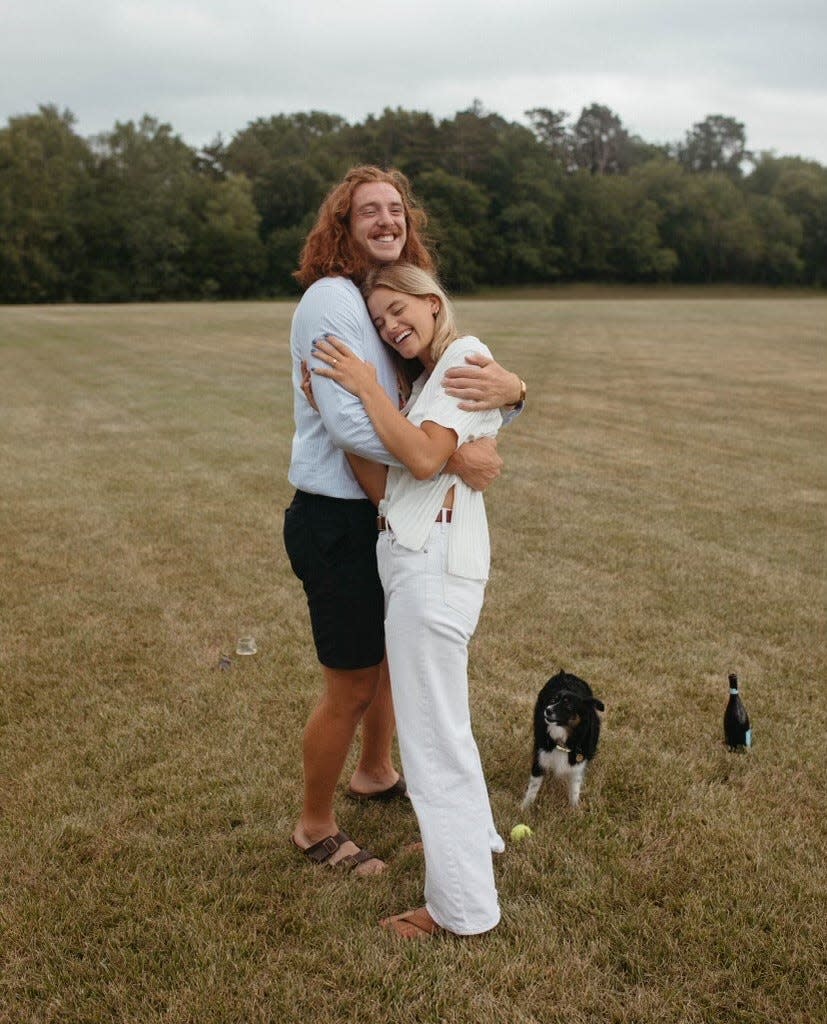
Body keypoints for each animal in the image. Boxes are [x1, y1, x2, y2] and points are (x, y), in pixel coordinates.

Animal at [519, 671, 605, 806]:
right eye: (553, 700)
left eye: (568, 707)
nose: (547, 710)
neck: (564, 740)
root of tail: (566, 674)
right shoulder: (541, 759)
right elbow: (533, 788)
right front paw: (525, 808)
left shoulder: (578, 765)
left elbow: (575, 791)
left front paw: (574, 809)